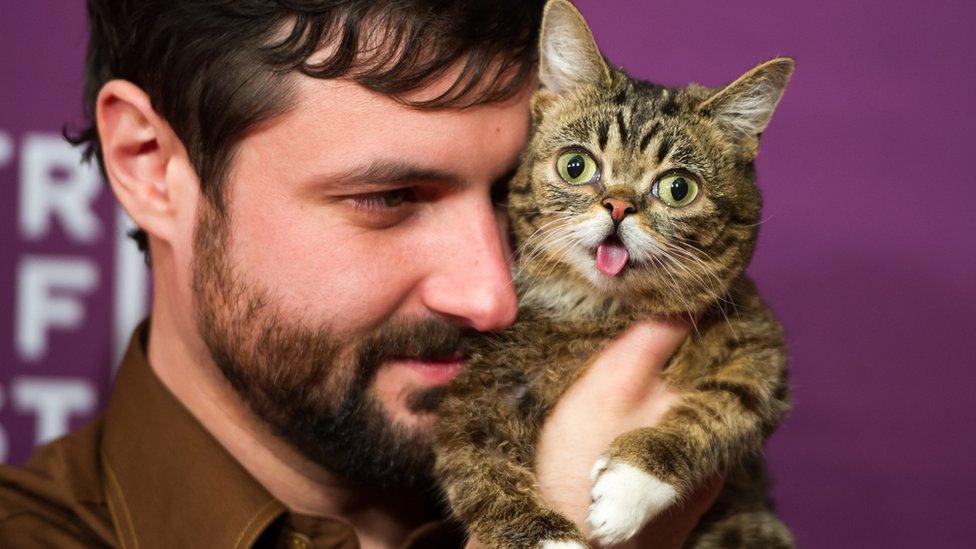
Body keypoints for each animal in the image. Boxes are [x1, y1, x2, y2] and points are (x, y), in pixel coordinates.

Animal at [434, 2, 792, 544]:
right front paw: (547, 536)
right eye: (576, 165)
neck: (607, 311)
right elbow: (480, 465)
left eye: (678, 188)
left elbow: (721, 410)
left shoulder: (760, 351)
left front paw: (630, 485)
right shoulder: (478, 390)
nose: (619, 206)